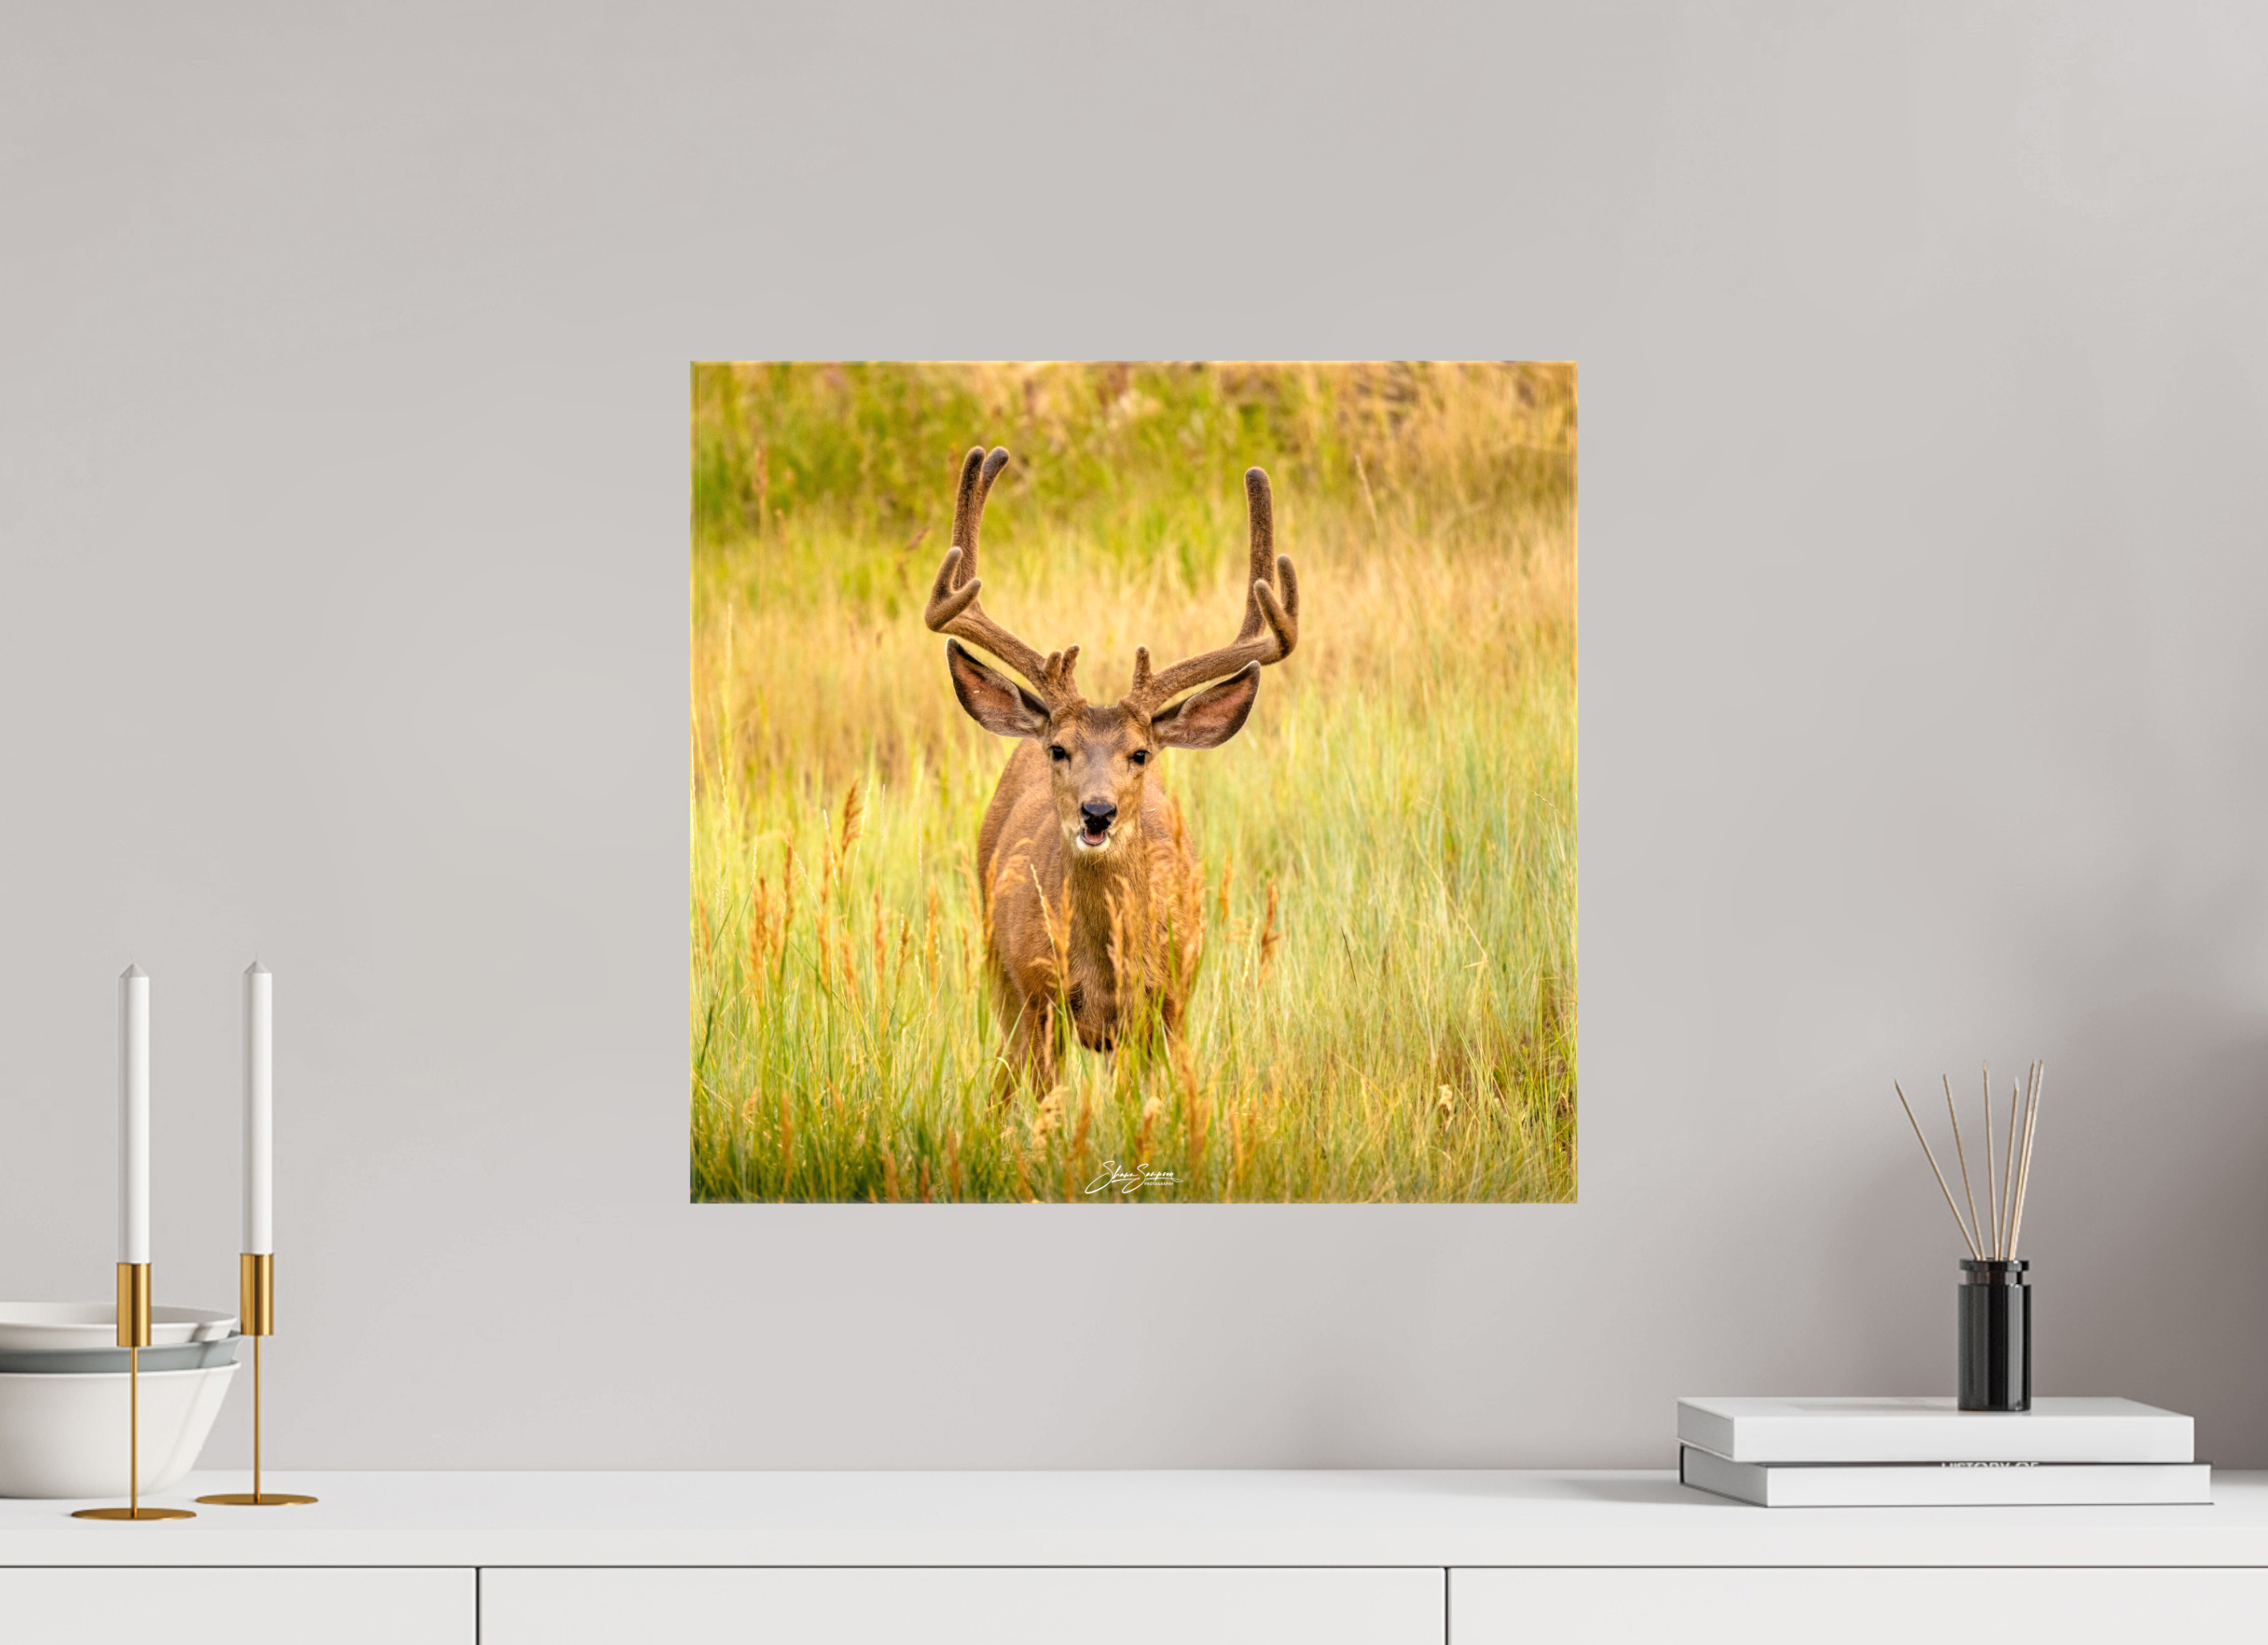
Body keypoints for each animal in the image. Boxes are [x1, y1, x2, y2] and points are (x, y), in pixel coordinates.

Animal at [925, 445, 1300, 1096]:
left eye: (1140, 753)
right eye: (1059, 749)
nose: (1096, 812)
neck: (1103, 972)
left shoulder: (1169, 1005)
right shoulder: (1038, 998)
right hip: (997, 968)